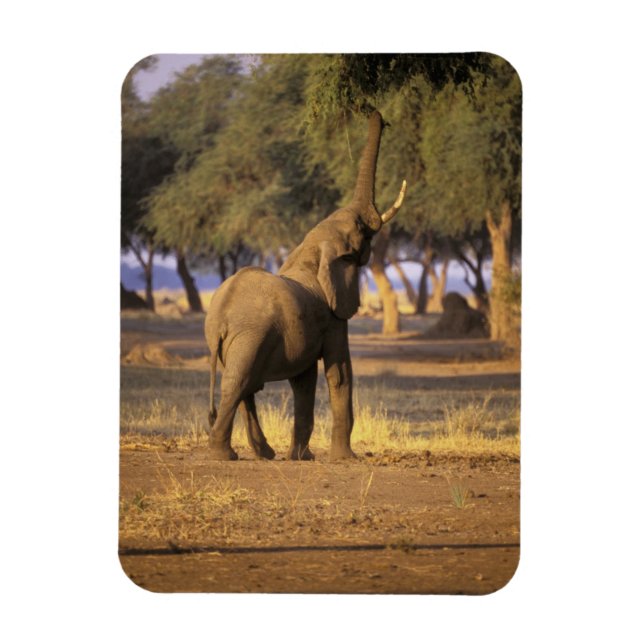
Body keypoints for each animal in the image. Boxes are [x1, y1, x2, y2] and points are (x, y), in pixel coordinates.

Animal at [204, 110, 406, 461]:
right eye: (361, 230)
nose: (374, 112)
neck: (310, 250)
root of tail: (219, 319)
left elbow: (304, 379)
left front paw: (302, 457)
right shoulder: (333, 317)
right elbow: (339, 373)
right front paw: (345, 459)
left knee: (245, 388)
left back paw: (263, 454)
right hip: (250, 336)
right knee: (237, 384)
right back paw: (225, 455)